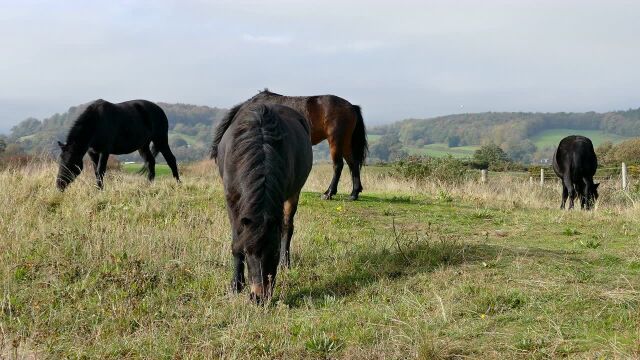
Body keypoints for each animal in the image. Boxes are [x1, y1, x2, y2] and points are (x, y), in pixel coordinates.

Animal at [211, 87, 368, 200]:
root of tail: (351, 106)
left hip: (336, 141)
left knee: (338, 165)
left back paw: (329, 193)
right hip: (345, 142)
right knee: (353, 164)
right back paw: (354, 194)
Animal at [216, 102, 314, 302]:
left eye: (274, 252)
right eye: (248, 252)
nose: (259, 297)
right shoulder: (231, 201)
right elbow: (236, 241)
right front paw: (236, 285)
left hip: (294, 194)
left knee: (287, 227)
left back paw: (286, 263)